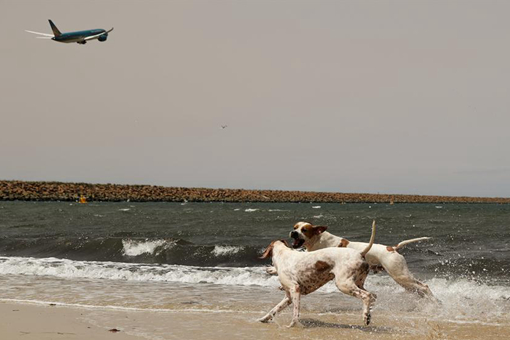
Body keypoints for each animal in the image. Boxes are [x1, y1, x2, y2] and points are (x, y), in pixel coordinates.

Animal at [288, 222, 436, 302]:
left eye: (304, 230)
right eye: (295, 227)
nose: (293, 232)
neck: (318, 239)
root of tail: (392, 248)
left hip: (400, 275)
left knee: (424, 287)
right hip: (402, 280)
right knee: (418, 289)